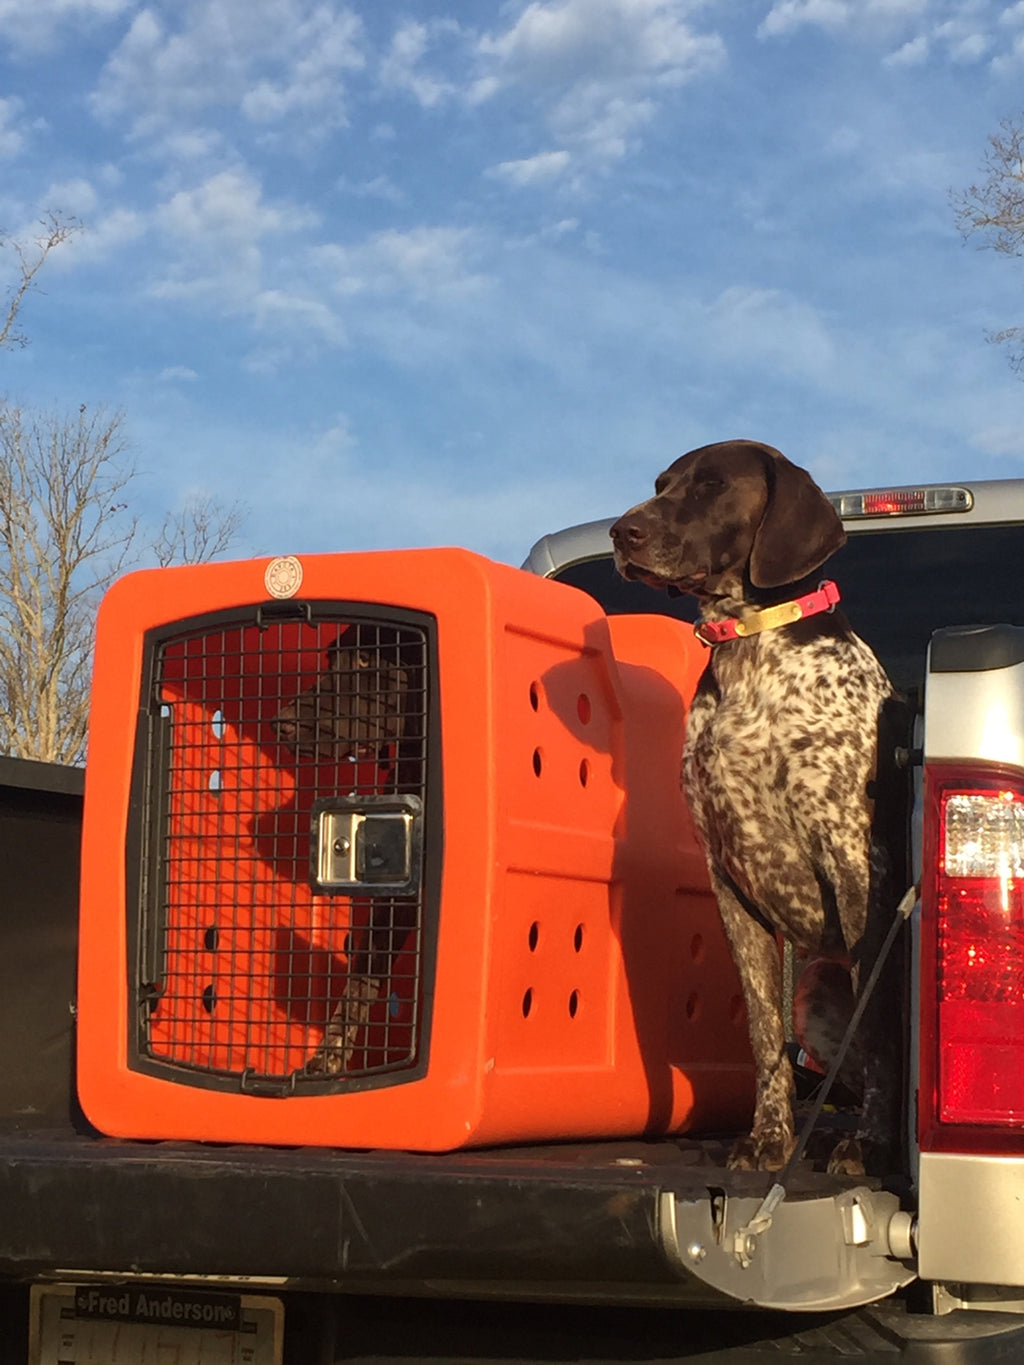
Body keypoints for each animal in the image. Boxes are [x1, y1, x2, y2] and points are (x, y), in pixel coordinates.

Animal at [608, 439, 906, 1173]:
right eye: (661, 484)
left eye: (713, 485)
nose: (623, 532)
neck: (749, 650)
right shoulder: (730, 881)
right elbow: (764, 1033)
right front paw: (770, 1138)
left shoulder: (858, 869)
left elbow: (880, 1031)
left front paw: (871, 1147)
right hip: (819, 987)